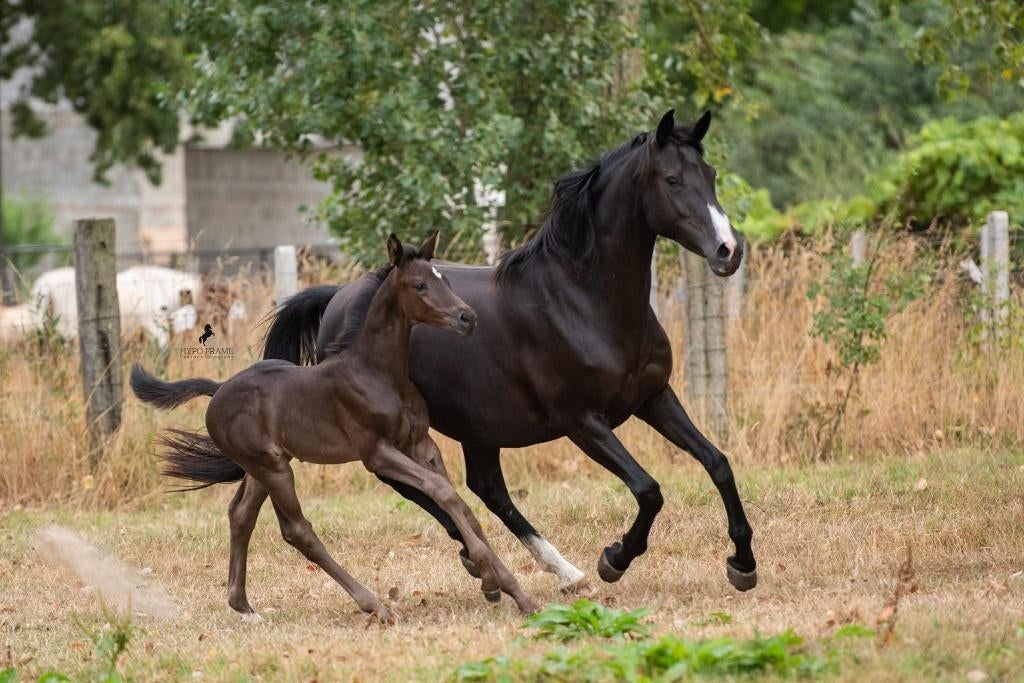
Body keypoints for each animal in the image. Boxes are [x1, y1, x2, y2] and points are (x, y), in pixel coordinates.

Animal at [130, 232, 539, 623]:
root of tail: (218, 390)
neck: (377, 372)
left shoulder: (421, 445)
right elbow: (444, 493)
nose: (467, 318)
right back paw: (376, 606)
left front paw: (513, 591)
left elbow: (460, 505)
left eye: (446, 279)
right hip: (272, 467)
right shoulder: (376, 453)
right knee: (297, 530)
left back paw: (244, 607)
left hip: (264, 465)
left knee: (241, 516)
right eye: (419, 285)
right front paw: (493, 581)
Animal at [263, 109, 758, 593]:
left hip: (477, 424)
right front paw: (614, 558)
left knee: (486, 488)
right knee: (406, 480)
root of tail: (339, 298)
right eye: (672, 179)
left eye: (710, 174)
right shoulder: (582, 421)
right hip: (389, 423)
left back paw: (544, 570)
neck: (586, 300)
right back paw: (506, 564)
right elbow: (648, 489)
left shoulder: (653, 398)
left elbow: (717, 463)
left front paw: (743, 563)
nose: (728, 251)